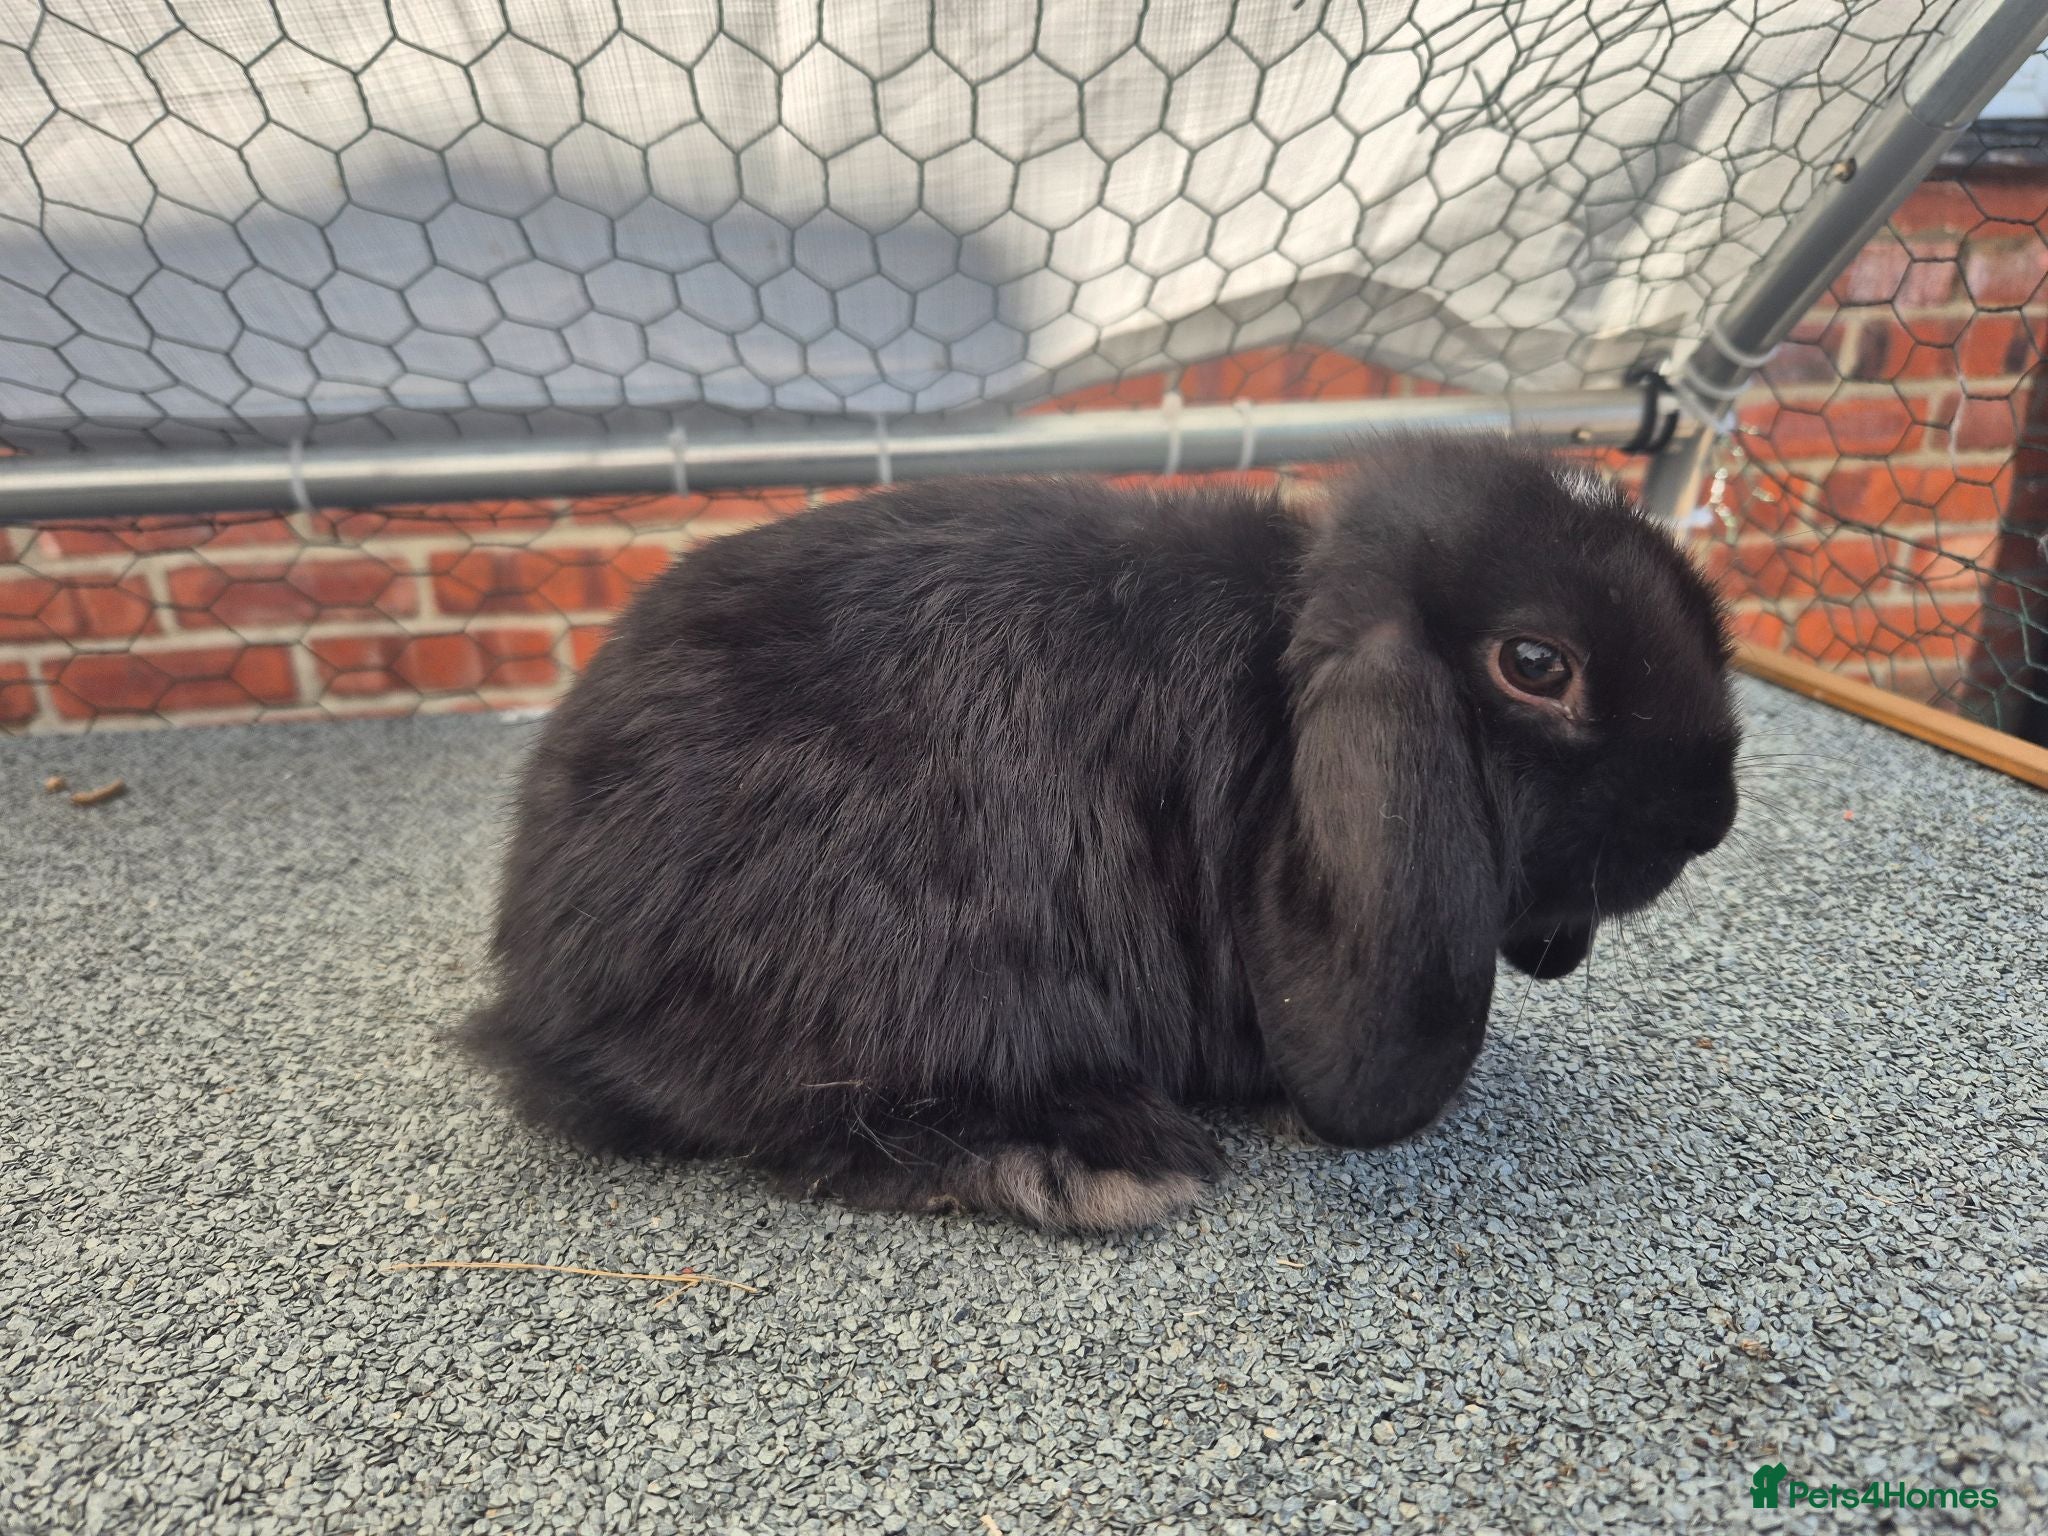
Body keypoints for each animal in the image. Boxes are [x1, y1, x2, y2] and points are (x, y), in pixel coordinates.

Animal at [463, 435, 1740, 1233]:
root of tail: (540, 976)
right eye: (1535, 663)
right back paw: (1086, 1161)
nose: (1711, 817)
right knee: (819, 1120)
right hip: (905, 969)